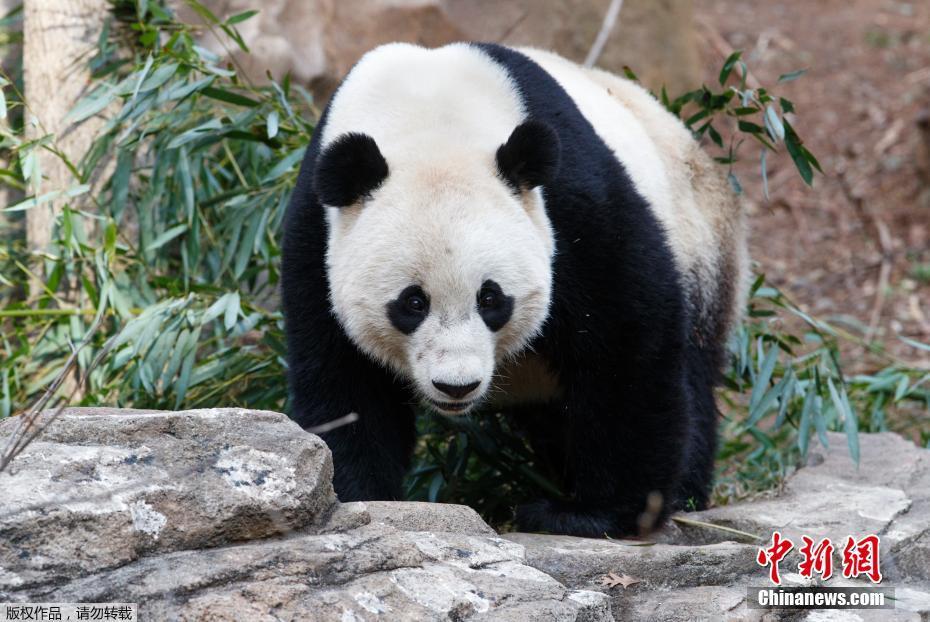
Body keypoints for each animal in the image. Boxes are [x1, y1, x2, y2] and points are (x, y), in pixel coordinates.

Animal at [282, 42, 749, 537]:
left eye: (491, 298)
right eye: (412, 303)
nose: (456, 386)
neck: (429, 118)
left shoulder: (570, 203)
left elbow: (626, 335)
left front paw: (597, 513)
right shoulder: (318, 234)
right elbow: (343, 377)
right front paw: (359, 497)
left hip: (698, 240)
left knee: (692, 373)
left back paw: (681, 492)